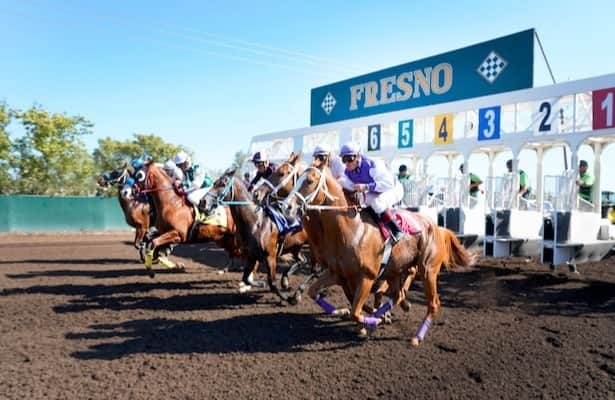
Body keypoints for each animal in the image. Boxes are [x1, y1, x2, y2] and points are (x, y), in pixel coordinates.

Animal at [206, 169, 312, 304]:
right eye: (214, 183)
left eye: (223, 183)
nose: (203, 201)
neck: (255, 222)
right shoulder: (251, 255)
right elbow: (246, 278)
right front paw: (260, 284)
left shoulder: (270, 256)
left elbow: (272, 283)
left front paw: (287, 298)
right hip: (295, 247)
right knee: (302, 260)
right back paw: (286, 281)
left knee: (316, 269)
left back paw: (296, 294)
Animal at [284, 164, 476, 346]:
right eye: (296, 179)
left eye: (309, 181)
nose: (287, 206)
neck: (352, 229)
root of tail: (437, 228)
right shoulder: (337, 273)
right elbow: (314, 292)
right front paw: (355, 315)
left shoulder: (366, 277)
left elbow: (355, 312)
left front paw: (370, 321)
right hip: (395, 270)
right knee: (398, 295)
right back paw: (387, 313)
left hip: (428, 271)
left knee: (433, 303)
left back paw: (416, 337)